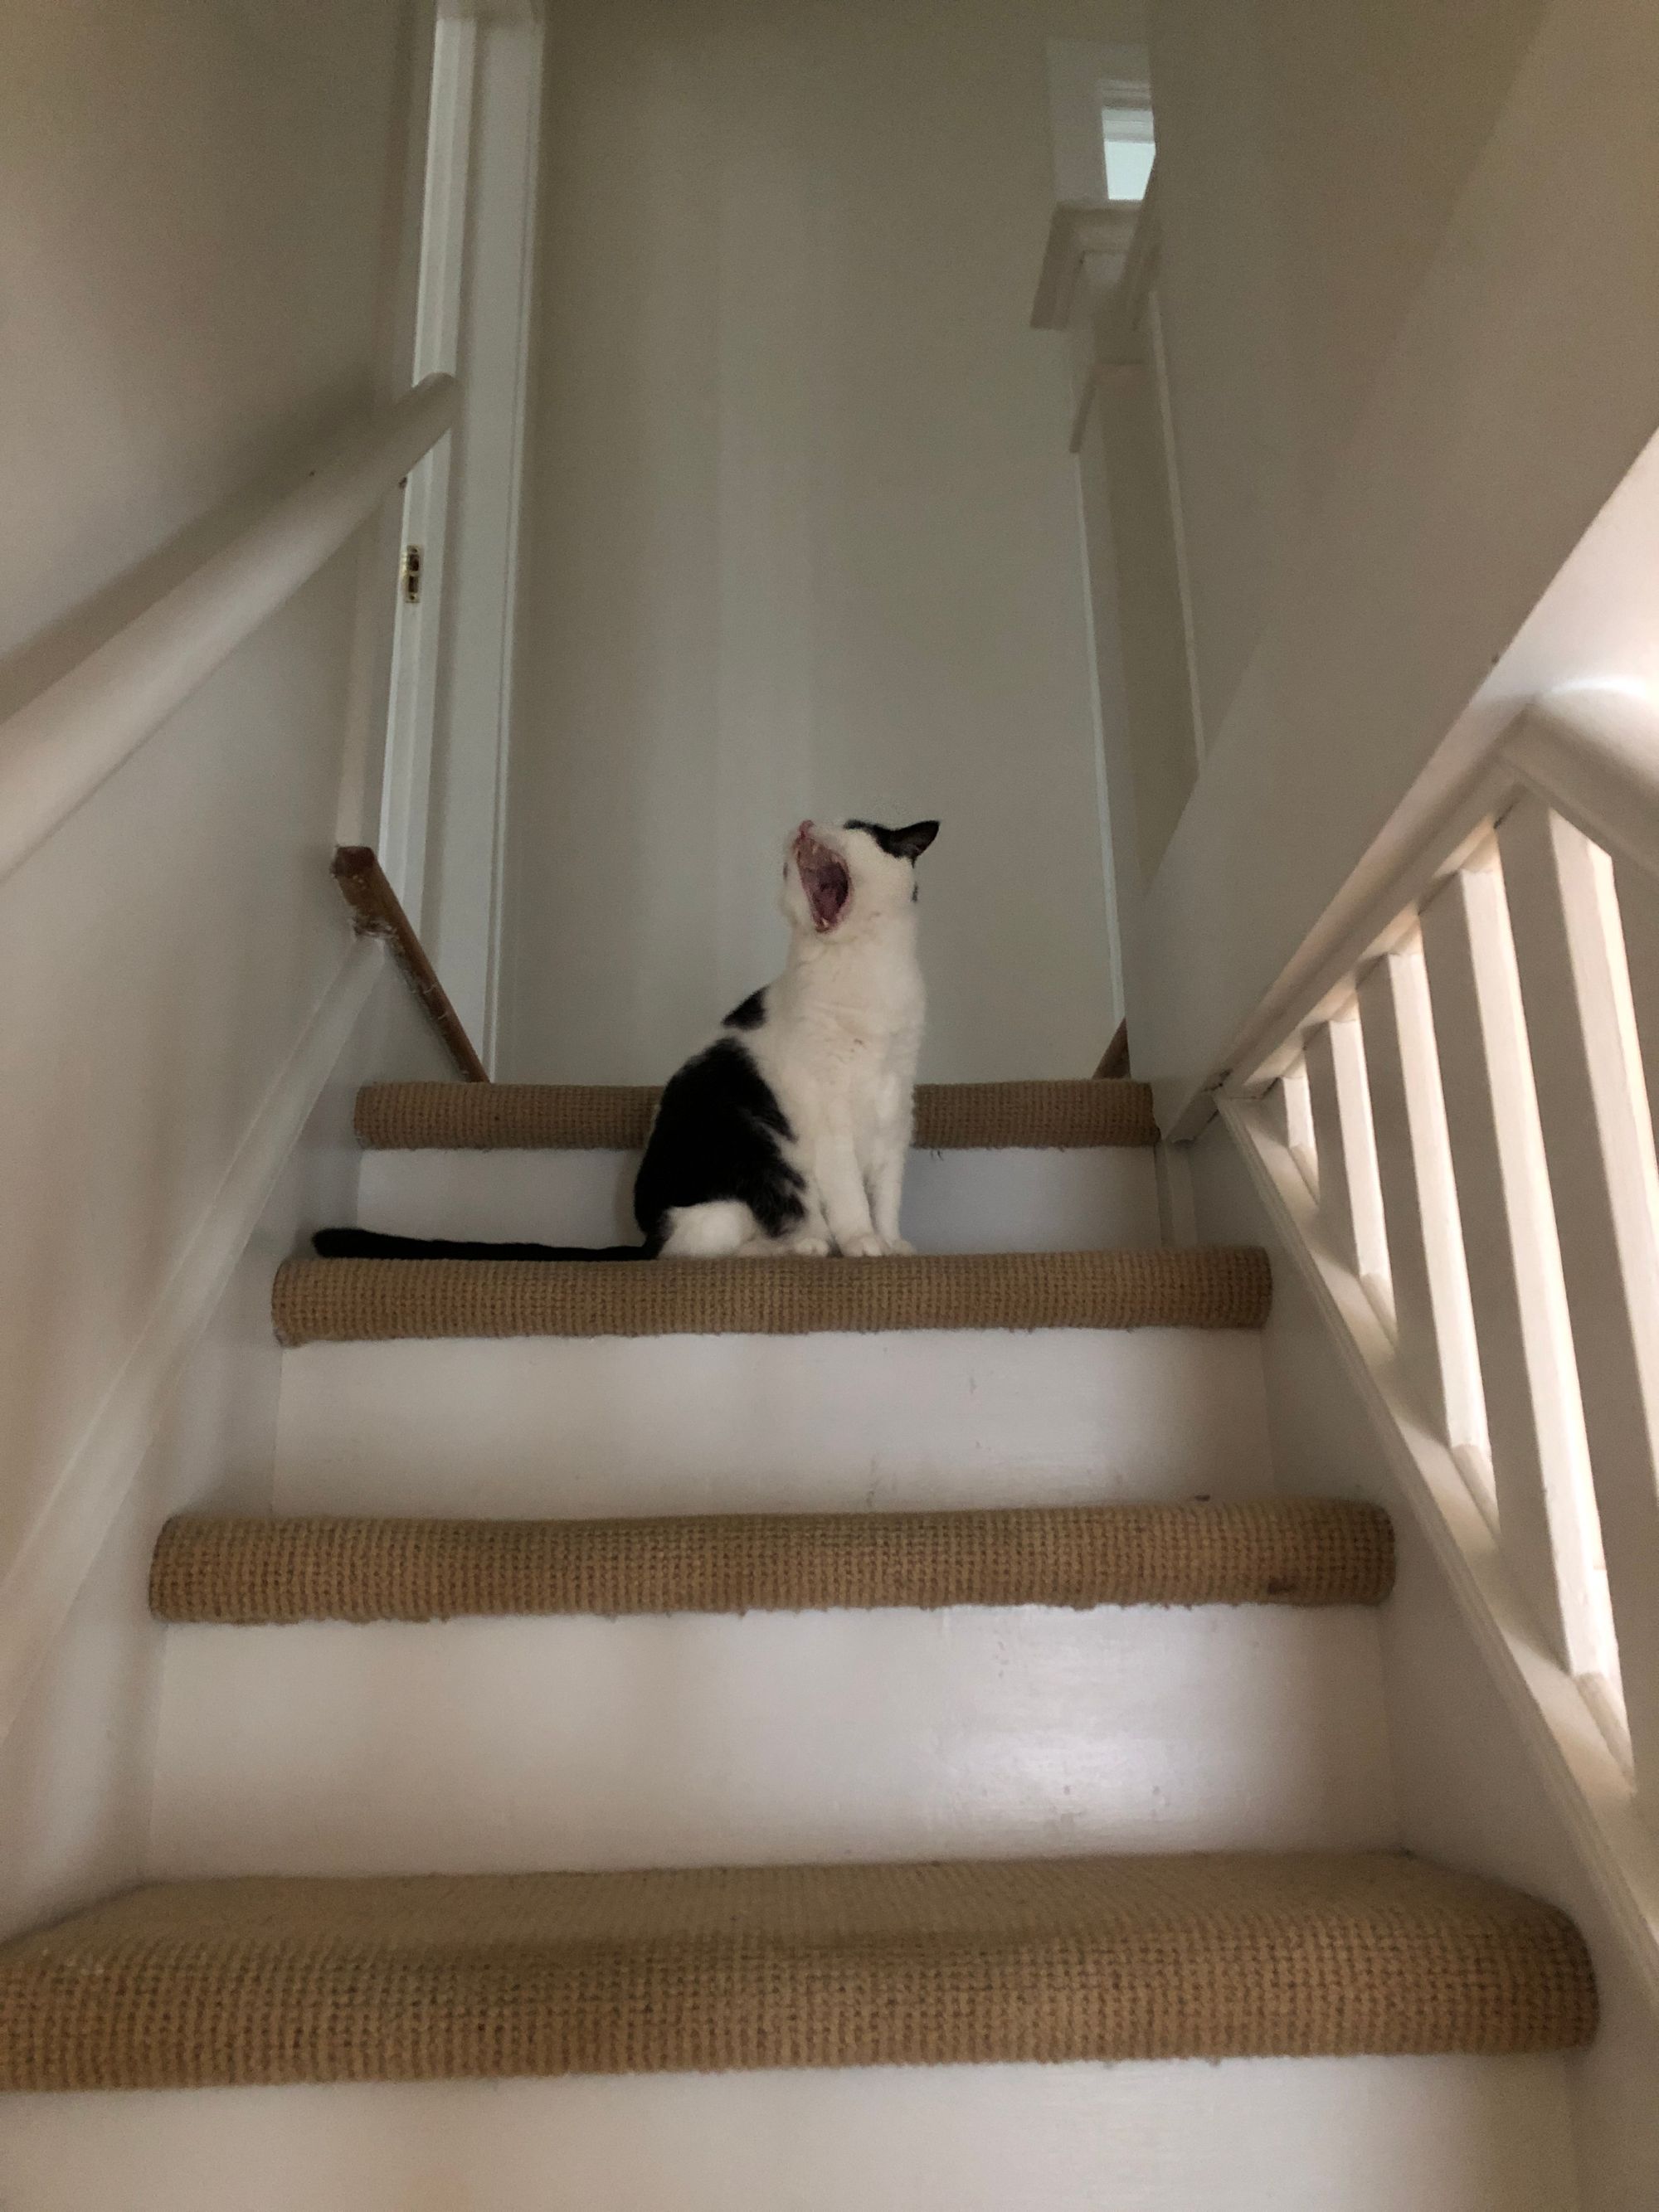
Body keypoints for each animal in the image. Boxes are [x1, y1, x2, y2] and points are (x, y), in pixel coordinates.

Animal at [314, 814, 937, 1265]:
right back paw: (801, 1246)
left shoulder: (895, 1113)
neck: (864, 971)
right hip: (734, 1188)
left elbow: (887, 1191)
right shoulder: (828, 1118)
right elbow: (850, 1193)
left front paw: (892, 1241)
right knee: (695, 1251)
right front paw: (861, 1242)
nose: (807, 825)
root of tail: (643, 1231)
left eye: (855, 827)